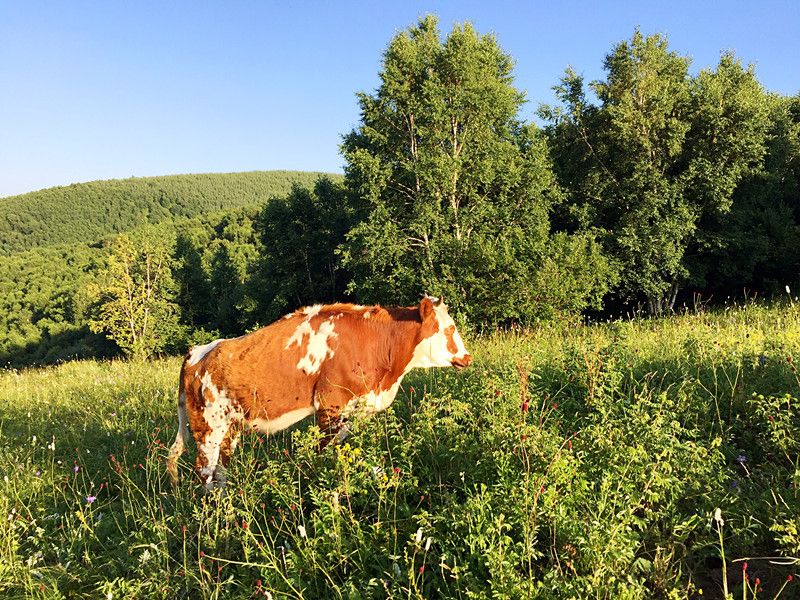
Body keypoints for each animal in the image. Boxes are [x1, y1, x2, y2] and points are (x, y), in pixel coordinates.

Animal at [166, 296, 472, 488]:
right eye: (450, 328)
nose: (467, 357)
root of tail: (197, 352)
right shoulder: (329, 406)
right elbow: (325, 453)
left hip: (231, 427)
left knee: (221, 469)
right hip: (208, 427)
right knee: (205, 470)